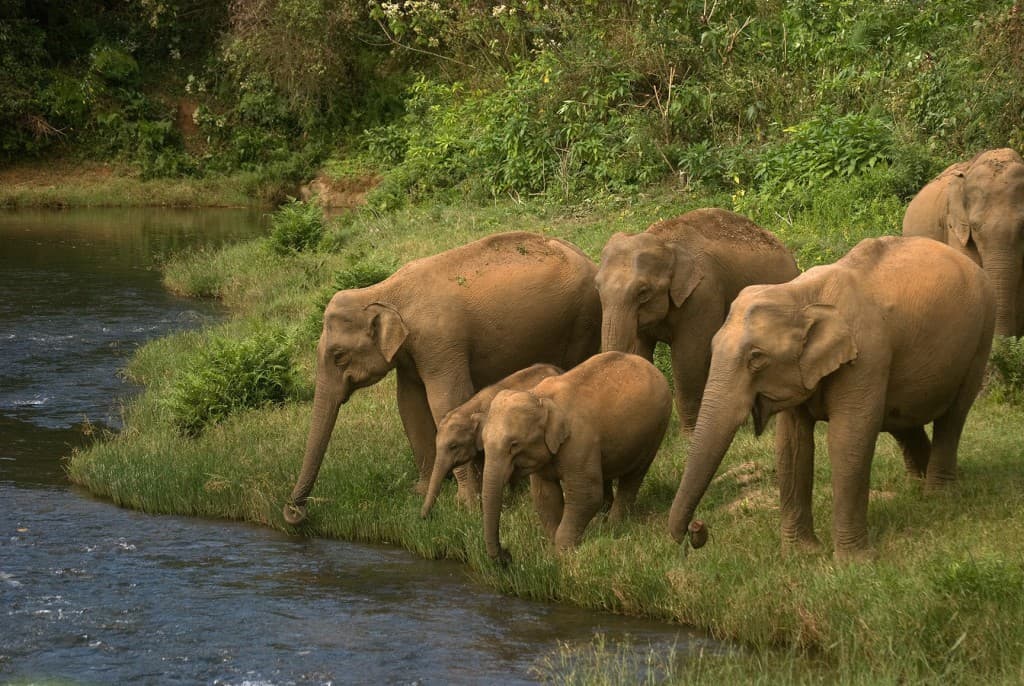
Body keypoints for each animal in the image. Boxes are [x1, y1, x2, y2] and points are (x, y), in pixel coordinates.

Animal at [481, 351, 672, 563]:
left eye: (514, 445)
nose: (506, 554)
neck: (540, 397)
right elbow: (545, 496)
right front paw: (552, 551)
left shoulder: (579, 442)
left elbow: (586, 495)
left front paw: (563, 554)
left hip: (656, 430)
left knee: (634, 476)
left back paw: (613, 526)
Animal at [595, 208, 799, 431]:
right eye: (597, 287)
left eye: (643, 292)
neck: (664, 242)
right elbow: (639, 350)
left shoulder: (703, 295)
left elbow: (688, 358)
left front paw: (690, 434)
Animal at [667, 236, 995, 560]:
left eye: (756, 359)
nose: (696, 531)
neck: (801, 294)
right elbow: (792, 444)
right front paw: (801, 554)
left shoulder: (866, 356)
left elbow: (847, 438)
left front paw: (853, 562)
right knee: (902, 419)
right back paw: (920, 485)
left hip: (981, 338)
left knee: (953, 417)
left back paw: (938, 495)